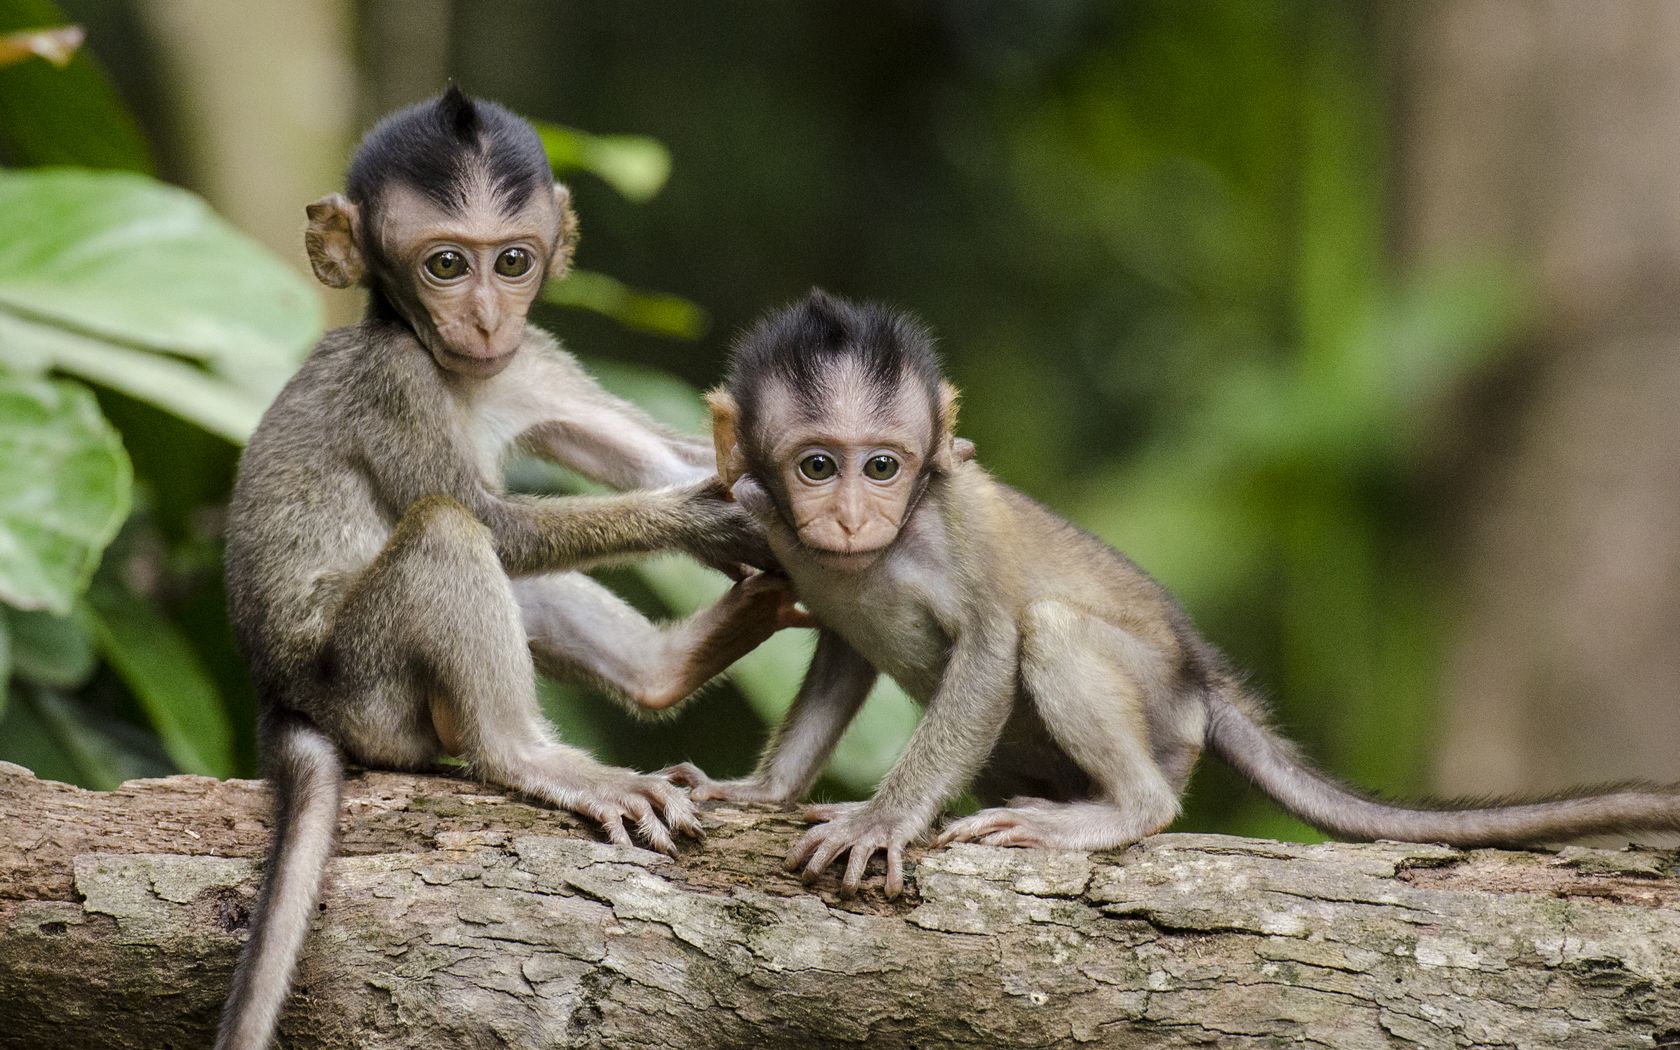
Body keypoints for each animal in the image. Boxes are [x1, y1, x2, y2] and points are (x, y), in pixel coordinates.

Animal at [661, 287, 1680, 893]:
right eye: (817, 465)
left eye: (882, 466)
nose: (849, 517)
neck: (873, 555)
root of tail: (1201, 679)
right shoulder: (776, 531)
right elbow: (839, 654)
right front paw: (759, 791)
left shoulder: (953, 523)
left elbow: (992, 646)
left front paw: (883, 820)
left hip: (1162, 711)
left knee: (1054, 632)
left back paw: (1125, 810)